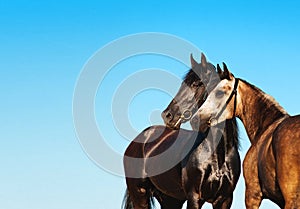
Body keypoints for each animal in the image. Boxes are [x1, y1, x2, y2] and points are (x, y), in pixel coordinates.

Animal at [123, 54, 240, 209]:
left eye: (197, 84)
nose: (167, 115)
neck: (217, 154)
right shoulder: (194, 197)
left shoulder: (225, 200)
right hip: (139, 194)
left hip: (170, 199)